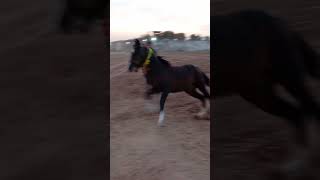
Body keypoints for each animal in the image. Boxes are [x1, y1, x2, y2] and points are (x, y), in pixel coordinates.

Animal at [212, 9, 320, 173]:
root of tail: (282, 24)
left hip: (288, 79)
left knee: (310, 108)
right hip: (259, 92)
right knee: (296, 114)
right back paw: (292, 166)